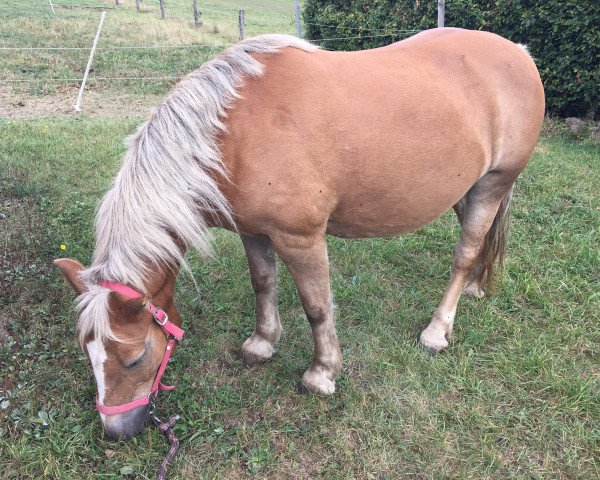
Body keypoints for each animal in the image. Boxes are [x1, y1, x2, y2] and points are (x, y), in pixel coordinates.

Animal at [55, 29, 544, 438]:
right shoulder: (253, 232)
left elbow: (317, 307)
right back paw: (476, 287)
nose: (116, 431)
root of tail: (519, 53)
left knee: (464, 253)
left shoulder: (301, 238)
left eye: (135, 357)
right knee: (478, 243)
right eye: (86, 352)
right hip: (467, 188)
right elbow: (263, 283)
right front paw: (261, 344)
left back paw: (438, 330)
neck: (234, 137)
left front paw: (321, 373)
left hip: (494, 182)